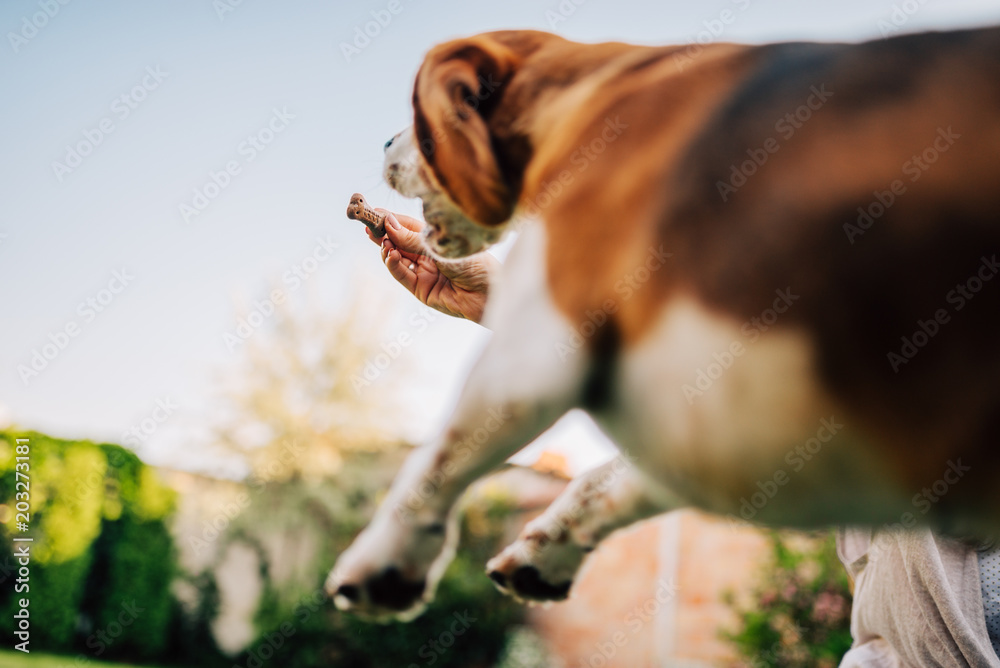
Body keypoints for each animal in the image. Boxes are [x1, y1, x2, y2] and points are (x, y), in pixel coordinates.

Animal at [326, 28, 1000, 620]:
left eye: (417, 119)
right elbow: (606, 482)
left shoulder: (540, 342)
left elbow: (435, 463)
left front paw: (384, 561)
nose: (385, 142)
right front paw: (549, 552)